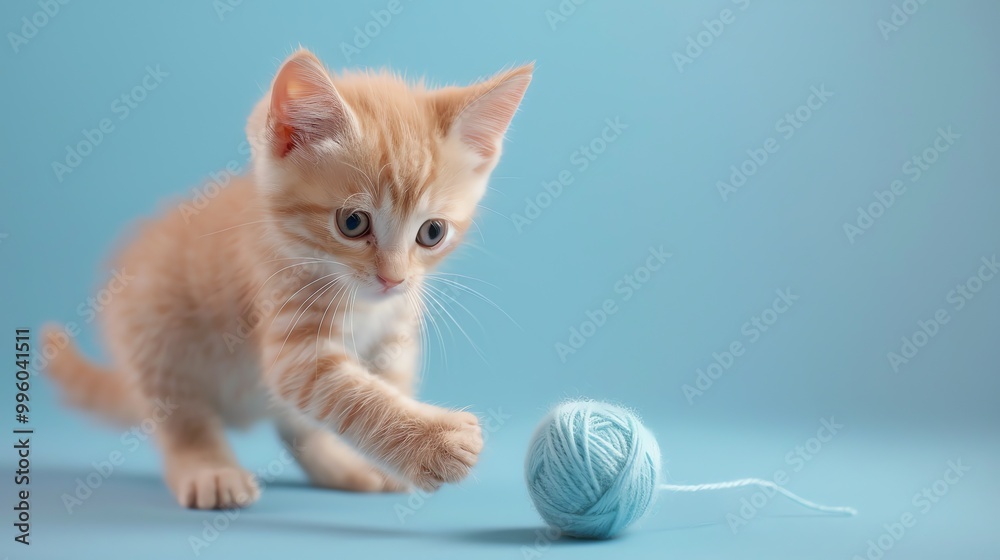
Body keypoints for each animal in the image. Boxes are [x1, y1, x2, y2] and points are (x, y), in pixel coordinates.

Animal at [41, 50, 532, 510]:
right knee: (183, 419)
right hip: (156, 334)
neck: (362, 303)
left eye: (432, 233)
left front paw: (395, 459)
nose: (392, 279)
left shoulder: (395, 332)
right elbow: (351, 394)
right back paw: (209, 468)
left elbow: (384, 384)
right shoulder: (290, 334)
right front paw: (434, 442)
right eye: (352, 223)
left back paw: (344, 467)